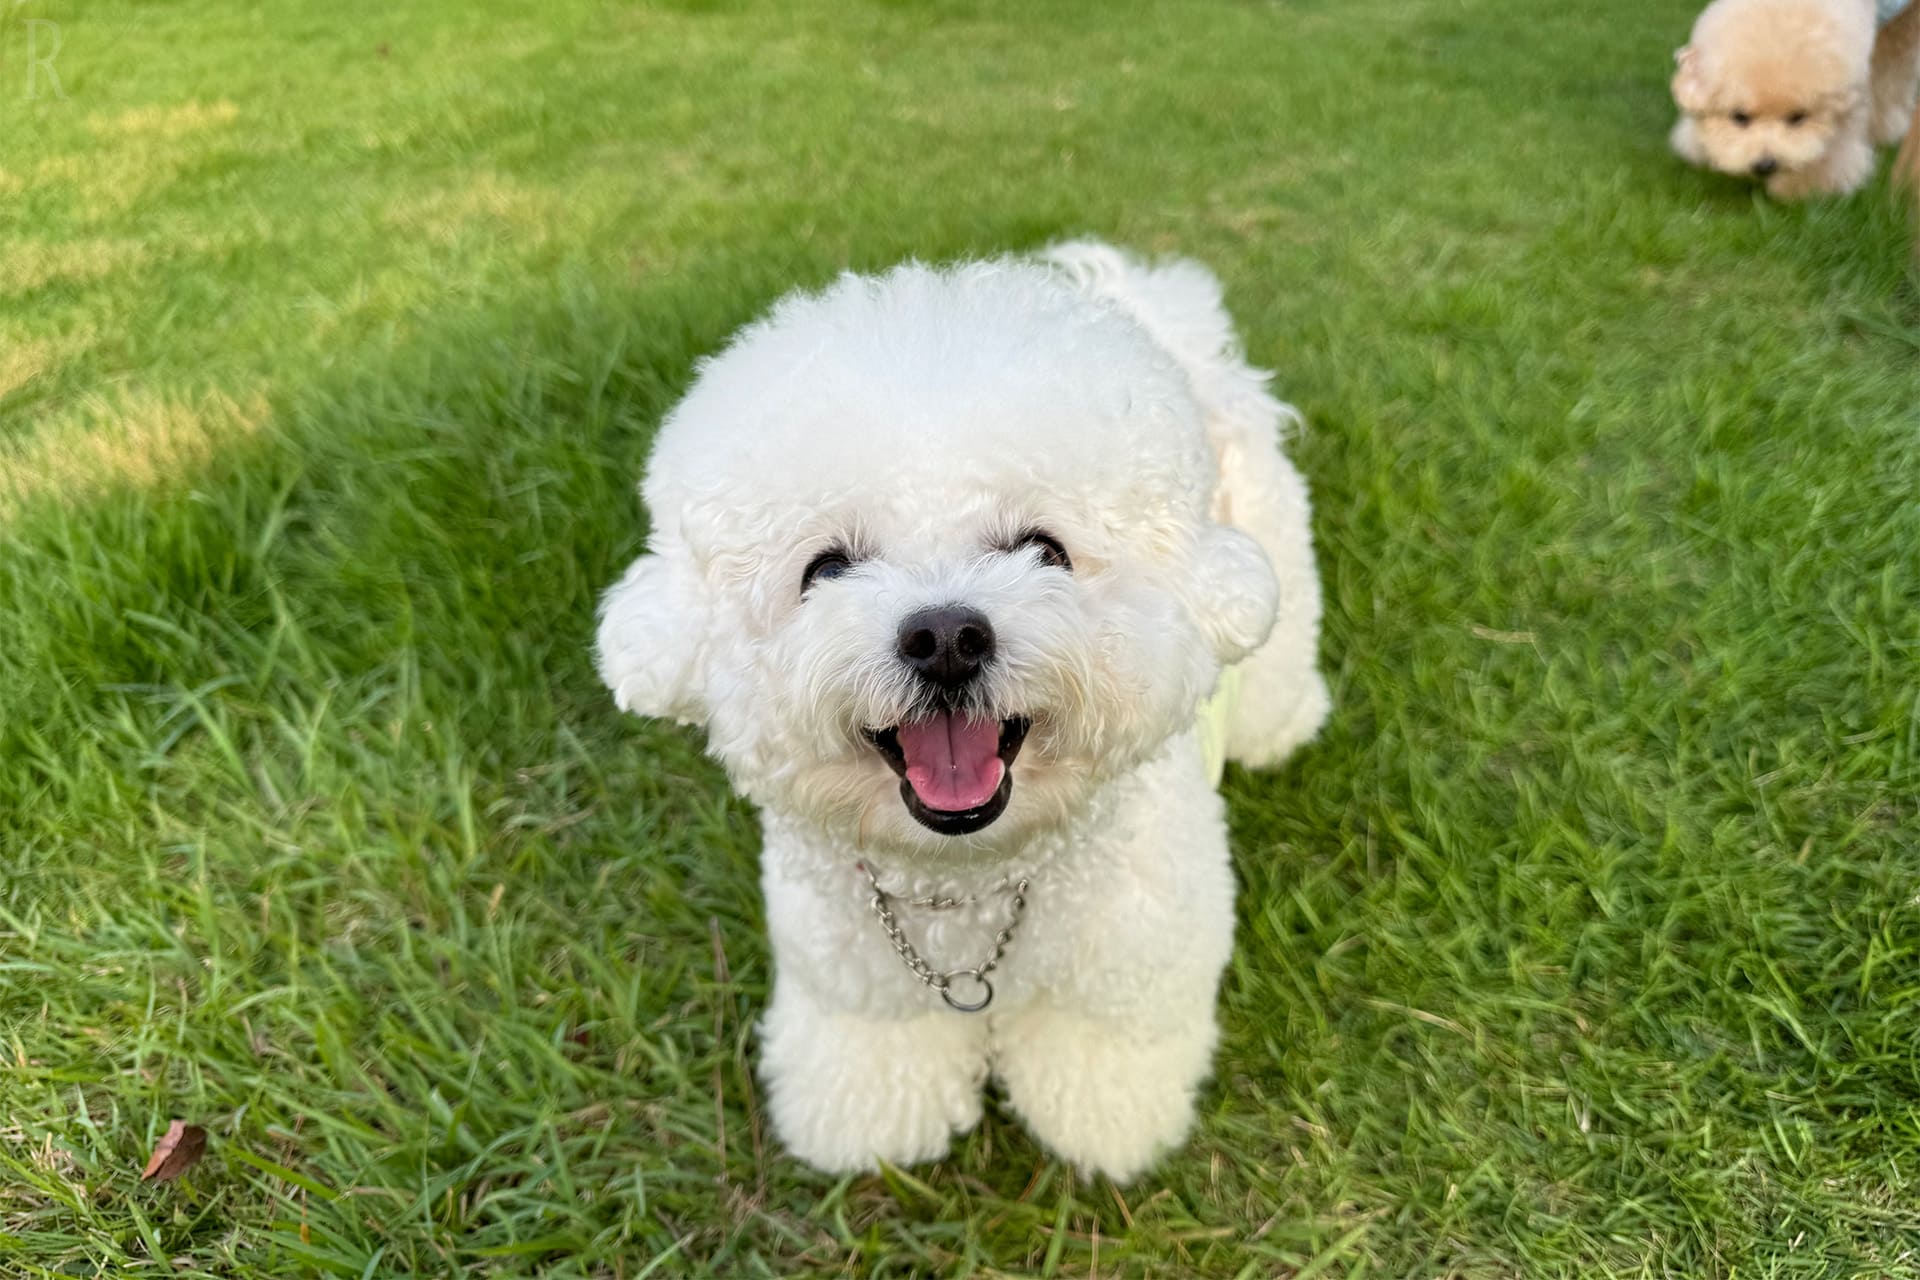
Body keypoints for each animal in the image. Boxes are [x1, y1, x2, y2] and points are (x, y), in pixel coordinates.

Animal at [591, 239, 1328, 1182]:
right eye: (826, 569)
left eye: (1045, 550)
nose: (945, 636)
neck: (966, 886)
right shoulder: (855, 989)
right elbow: (873, 1060)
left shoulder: (1128, 980)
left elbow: (1101, 1066)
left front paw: (1105, 1133)